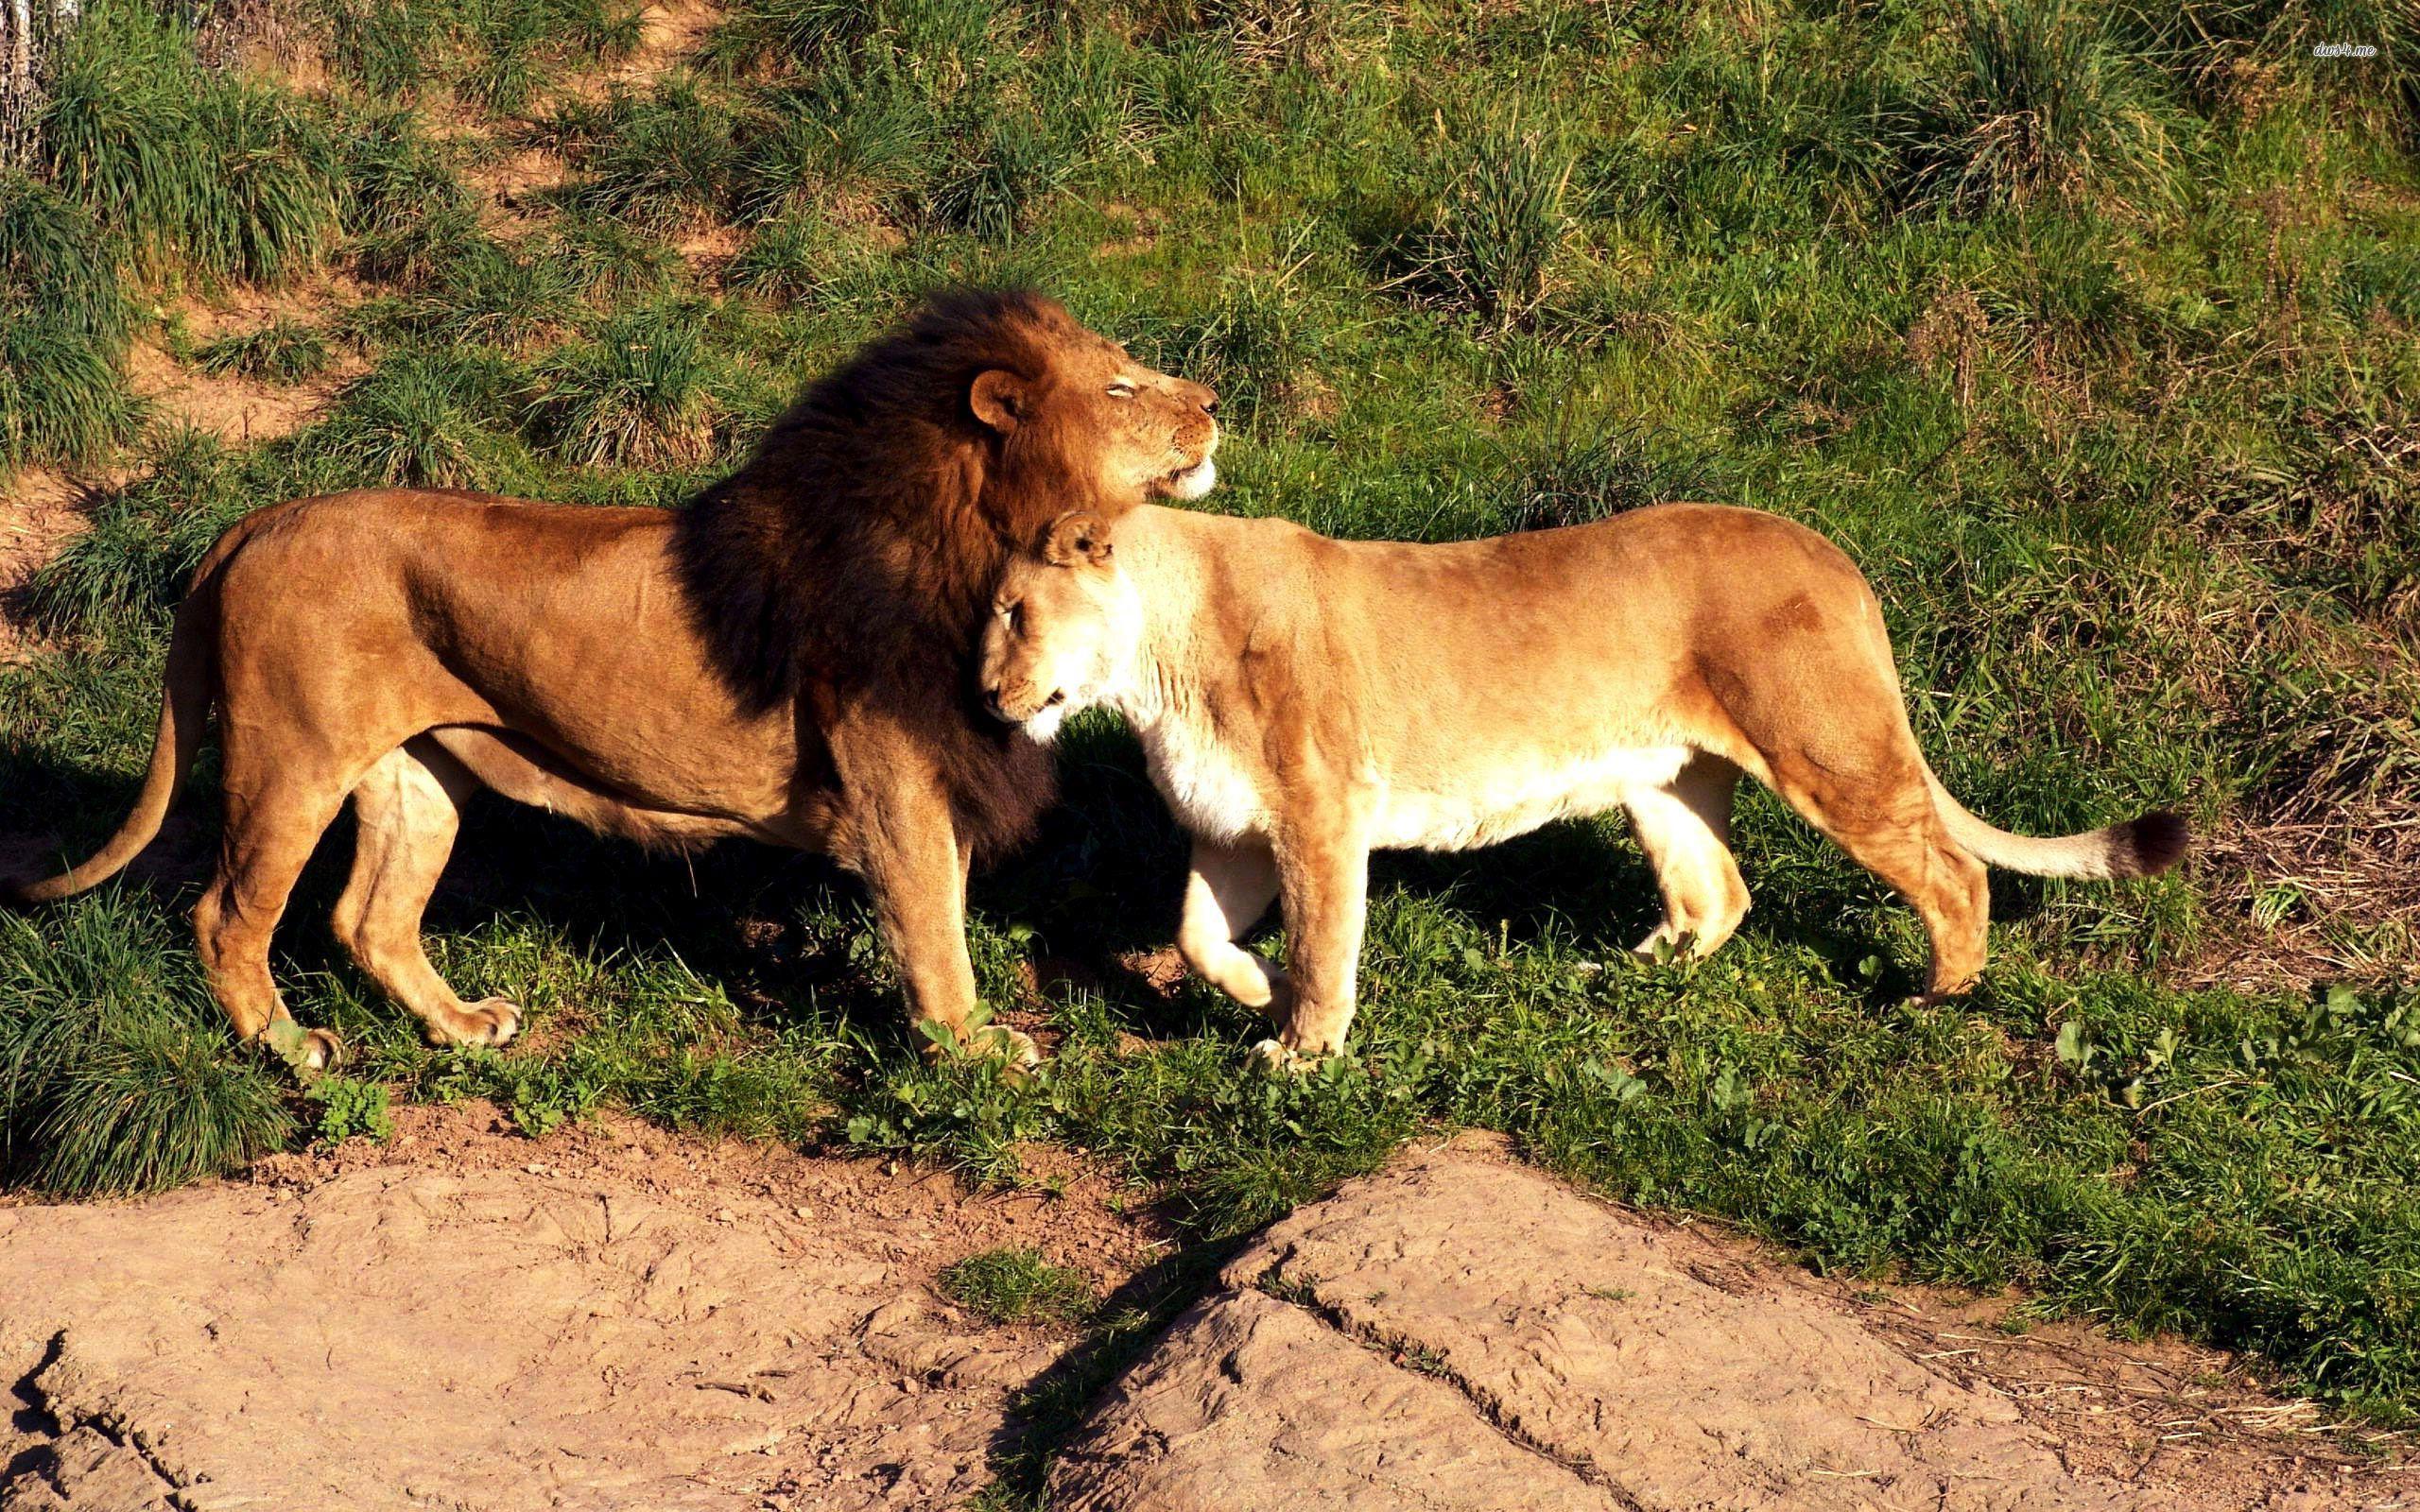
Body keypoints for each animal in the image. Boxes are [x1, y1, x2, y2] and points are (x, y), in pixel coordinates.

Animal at [11, 290, 1219, 1068]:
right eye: (1122, 383)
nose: (1212, 401)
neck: (988, 544)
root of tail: (257, 521)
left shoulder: (940, 770)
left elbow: (948, 913)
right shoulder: (898, 785)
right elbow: (935, 933)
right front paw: (972, 1053)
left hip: (416, 772)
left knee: (368, 918)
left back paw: (462, 1026)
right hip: (289, 761)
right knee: (226, 915)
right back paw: (289, 1046)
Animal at [979, 503, 2186, 1062]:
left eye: (1013, 611)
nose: (987, 694)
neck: (1155, 667)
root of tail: (1834, 557)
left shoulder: (1322, 817)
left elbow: (1325, 947)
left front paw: (1302, 1051)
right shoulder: (1233, 827)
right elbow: (1196, 937)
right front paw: (1261, 996)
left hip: (1825, 748)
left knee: (1948, 871)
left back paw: (1937, 995)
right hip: (1661, 779)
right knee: (1719, 891)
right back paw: (1627, 974)